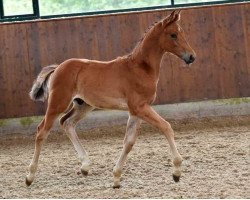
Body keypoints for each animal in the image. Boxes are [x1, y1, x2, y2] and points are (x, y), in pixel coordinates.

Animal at [26, 10, 195, 188]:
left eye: (182, 33)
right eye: (173, 35)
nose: (191, 57)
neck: (140, 68)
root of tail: (58, 67)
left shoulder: (136, 111)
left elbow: (129, 142)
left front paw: (116, 177)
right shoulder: (140, 107)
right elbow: (166, 127)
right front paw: (176, 172)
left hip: (83, 105)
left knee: (67, 123)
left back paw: (85, 166)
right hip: (58, 103)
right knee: (42, 131)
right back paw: (30, 176)